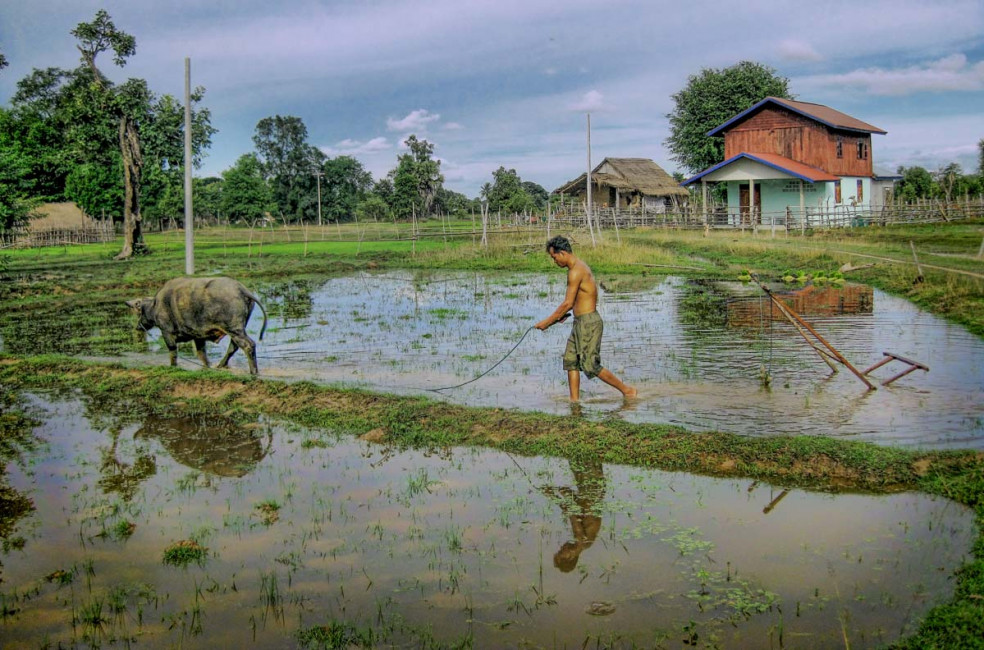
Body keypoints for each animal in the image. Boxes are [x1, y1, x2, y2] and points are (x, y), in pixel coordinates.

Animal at [130, 274, 272, 374]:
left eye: (139, 313)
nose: (138, 326)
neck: (156, 305)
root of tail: (241, 289)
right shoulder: (198, 336)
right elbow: (201, 354)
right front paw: (207, 366)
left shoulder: (166, 331)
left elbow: (172, 351)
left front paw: (173, 367)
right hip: (238, 328)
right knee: (234, 346)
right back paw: (220, 366)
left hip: (234, 328)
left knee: (248, 345)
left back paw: (253, 372)